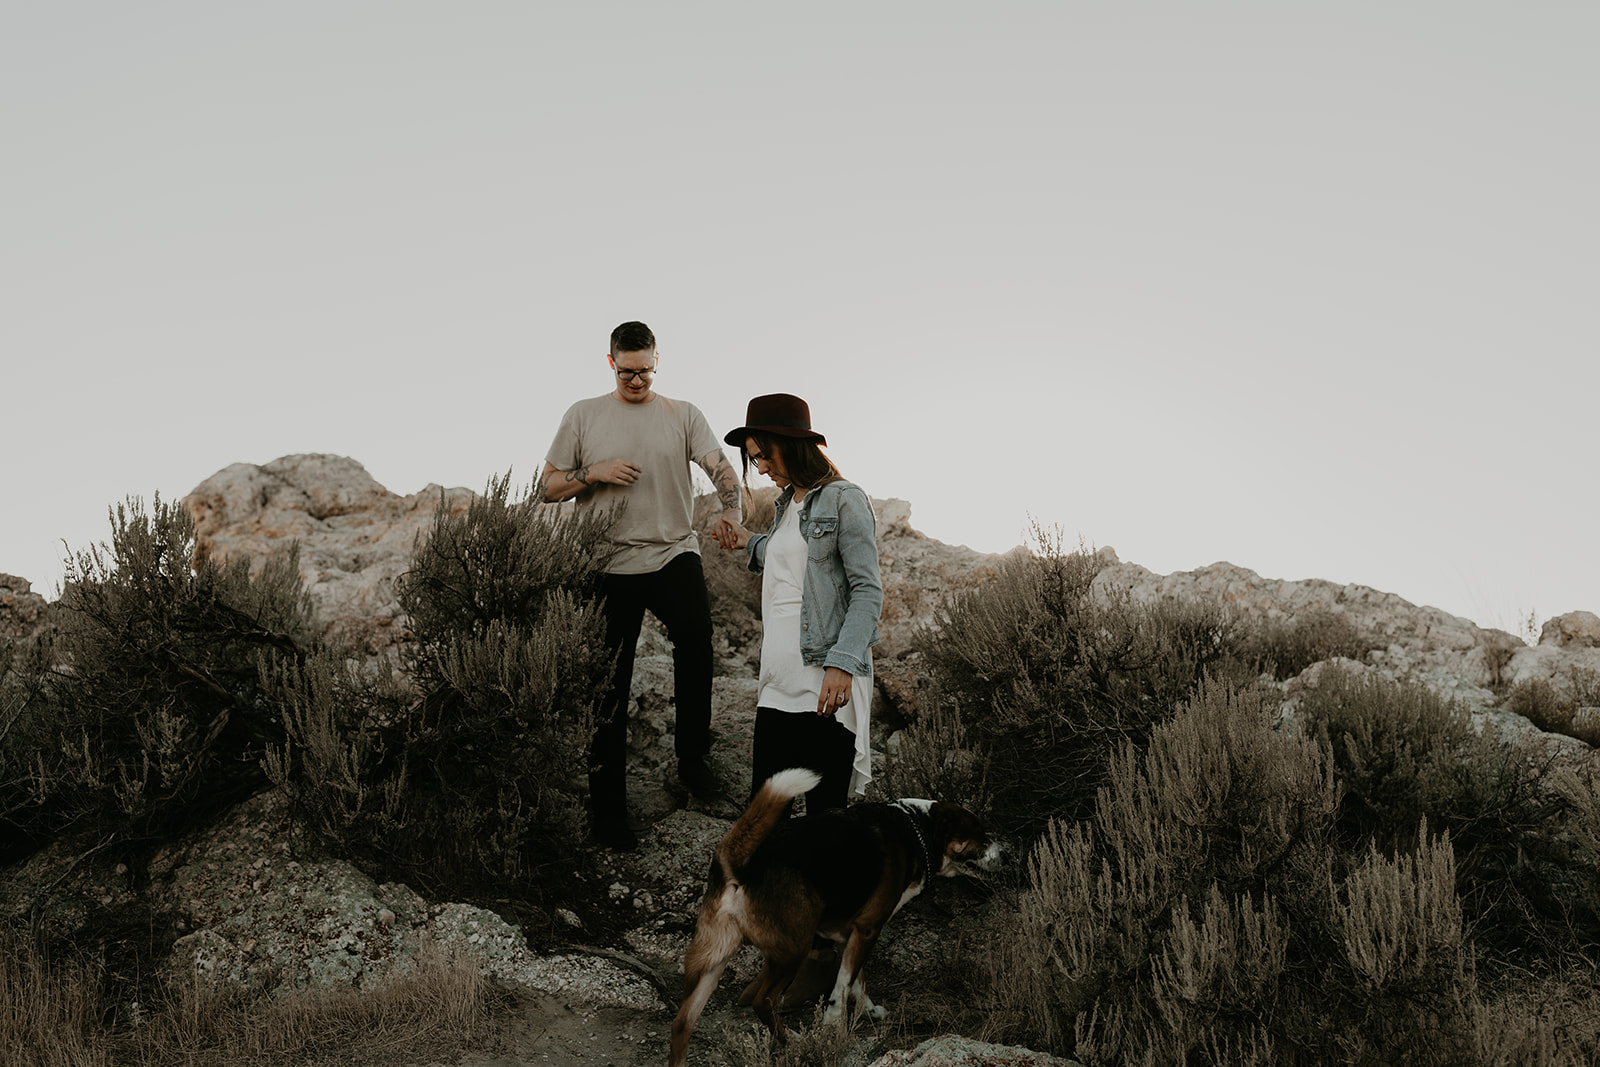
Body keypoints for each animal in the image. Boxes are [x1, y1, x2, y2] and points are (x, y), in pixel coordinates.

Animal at [668, 771, 992, 1062]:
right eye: (981, 836)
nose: (1003, 853)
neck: (915, 829)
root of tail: (736, 864)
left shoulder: (854, 935)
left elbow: (858, 980)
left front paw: (868, 1010)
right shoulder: (868, 928)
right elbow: (842, 986)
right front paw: (834, 1026)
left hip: (709, 963)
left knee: (682, 1022)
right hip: (792, 950)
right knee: (764, 1002)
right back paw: (793, 1040)